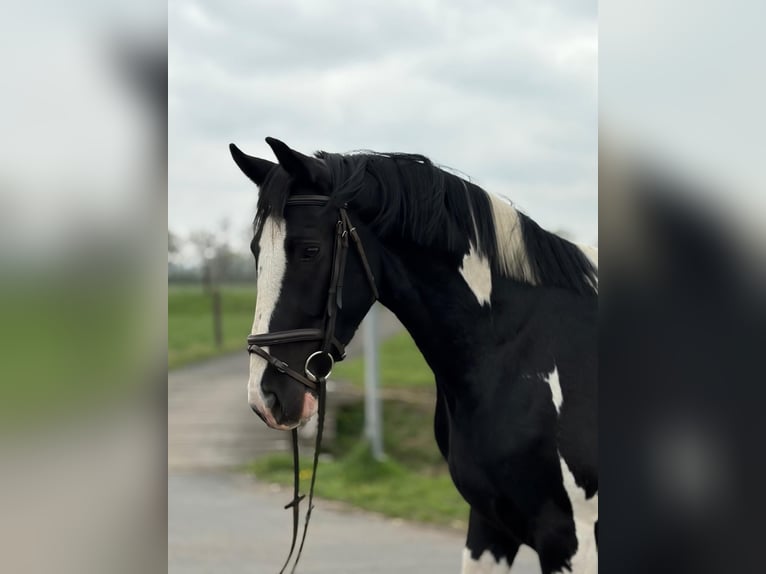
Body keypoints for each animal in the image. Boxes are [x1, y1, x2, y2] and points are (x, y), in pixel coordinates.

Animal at [230, 137, 598, 573]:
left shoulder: (569, 538)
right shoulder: (490, 524)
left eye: (309, 250)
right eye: (256, 251)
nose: (265, 397)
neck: (521, 348)